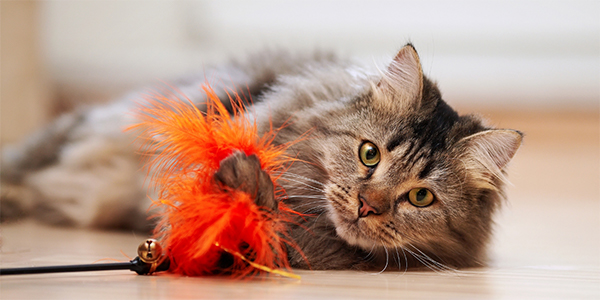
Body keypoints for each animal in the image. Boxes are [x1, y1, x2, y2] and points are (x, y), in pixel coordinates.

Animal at [0, 43, 520, 270]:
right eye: (369, 154)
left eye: (420, 198)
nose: (366, 206)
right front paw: (244, 184)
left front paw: (247, 197)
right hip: (93, 128)